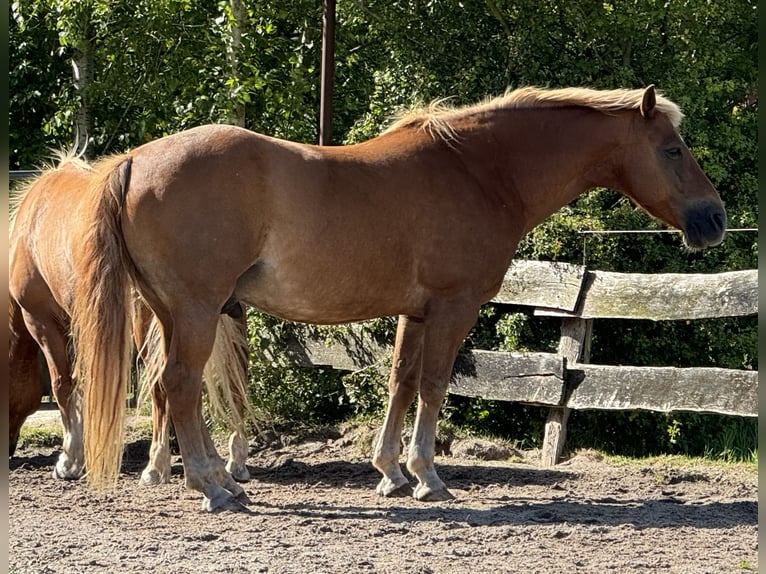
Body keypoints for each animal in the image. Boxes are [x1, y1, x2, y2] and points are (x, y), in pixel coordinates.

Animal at [9, 155, 255, 484]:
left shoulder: (41, 320)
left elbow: (63, 385)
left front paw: (70, 460)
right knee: (234, 375)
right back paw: (233, 460)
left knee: (163, 385)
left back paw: (158, 465)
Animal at [69, 84, 728, 512]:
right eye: (672, 149)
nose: (715, 219)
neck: (482, 171)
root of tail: (134, 161)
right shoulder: (455, 307)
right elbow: (434, 385)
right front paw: (428, 476)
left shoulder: (416, 311)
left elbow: (401, 382)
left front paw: (390, 473)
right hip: (196, 311)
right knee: (179, 385)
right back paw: (211, 487)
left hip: (171, 312)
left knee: (171, 388)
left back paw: (224, 482)